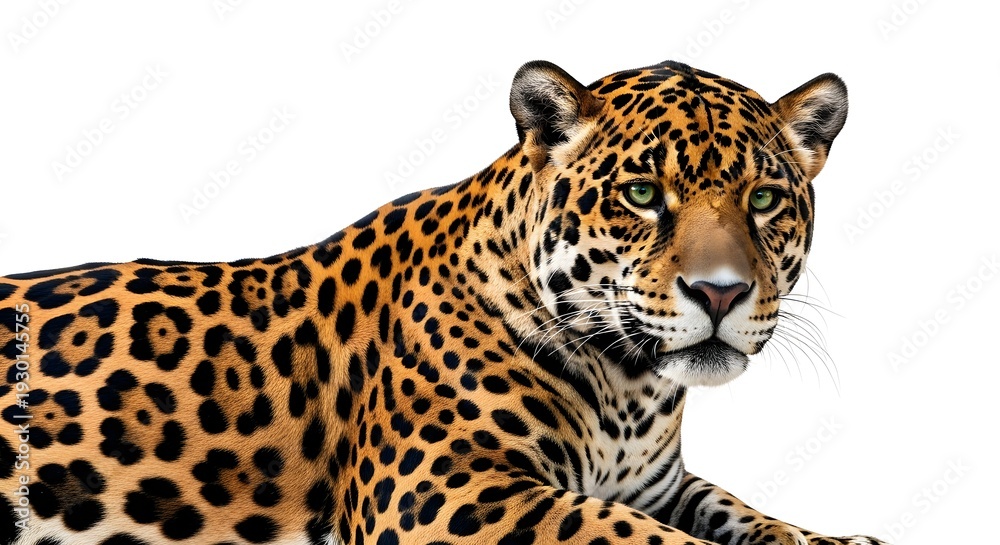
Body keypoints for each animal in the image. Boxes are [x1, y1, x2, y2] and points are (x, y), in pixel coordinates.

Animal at [0, 59, 889, 545]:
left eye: (765, 200)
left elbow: (741, 511)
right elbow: (621, 531)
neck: (631, 390)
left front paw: (836, 538)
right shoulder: (445, 490)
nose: (720, 290)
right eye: (642, 194)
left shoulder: (661, 484)